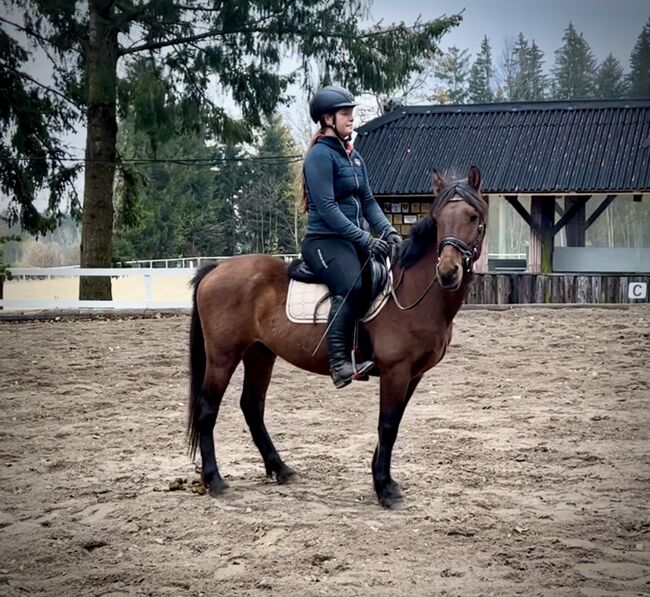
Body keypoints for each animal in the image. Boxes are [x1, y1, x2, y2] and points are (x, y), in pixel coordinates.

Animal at [185, 164, 484, 508]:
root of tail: (217, 268)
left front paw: (380, 478)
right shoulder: (395, 370)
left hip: (260, 353)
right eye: (438, 218)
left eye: (473, 216)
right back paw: (214, 480)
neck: (414, 290)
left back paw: (280, 468)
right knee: (208, 408)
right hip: (223, 356)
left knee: (252, 406)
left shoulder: (413, 374)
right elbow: (388, 425)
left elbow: (392, 424)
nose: (448, 272)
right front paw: (385, 489)